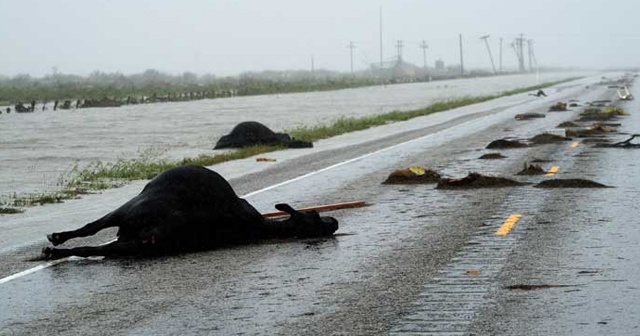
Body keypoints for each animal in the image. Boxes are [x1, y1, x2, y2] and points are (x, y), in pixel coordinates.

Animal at [42, 165, 338, 260]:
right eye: (313, 215)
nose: (334, 220)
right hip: (128, 216)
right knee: (90, 231)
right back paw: (56, 242)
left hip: (129, 228)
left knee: (89, 241)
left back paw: (55, 248)